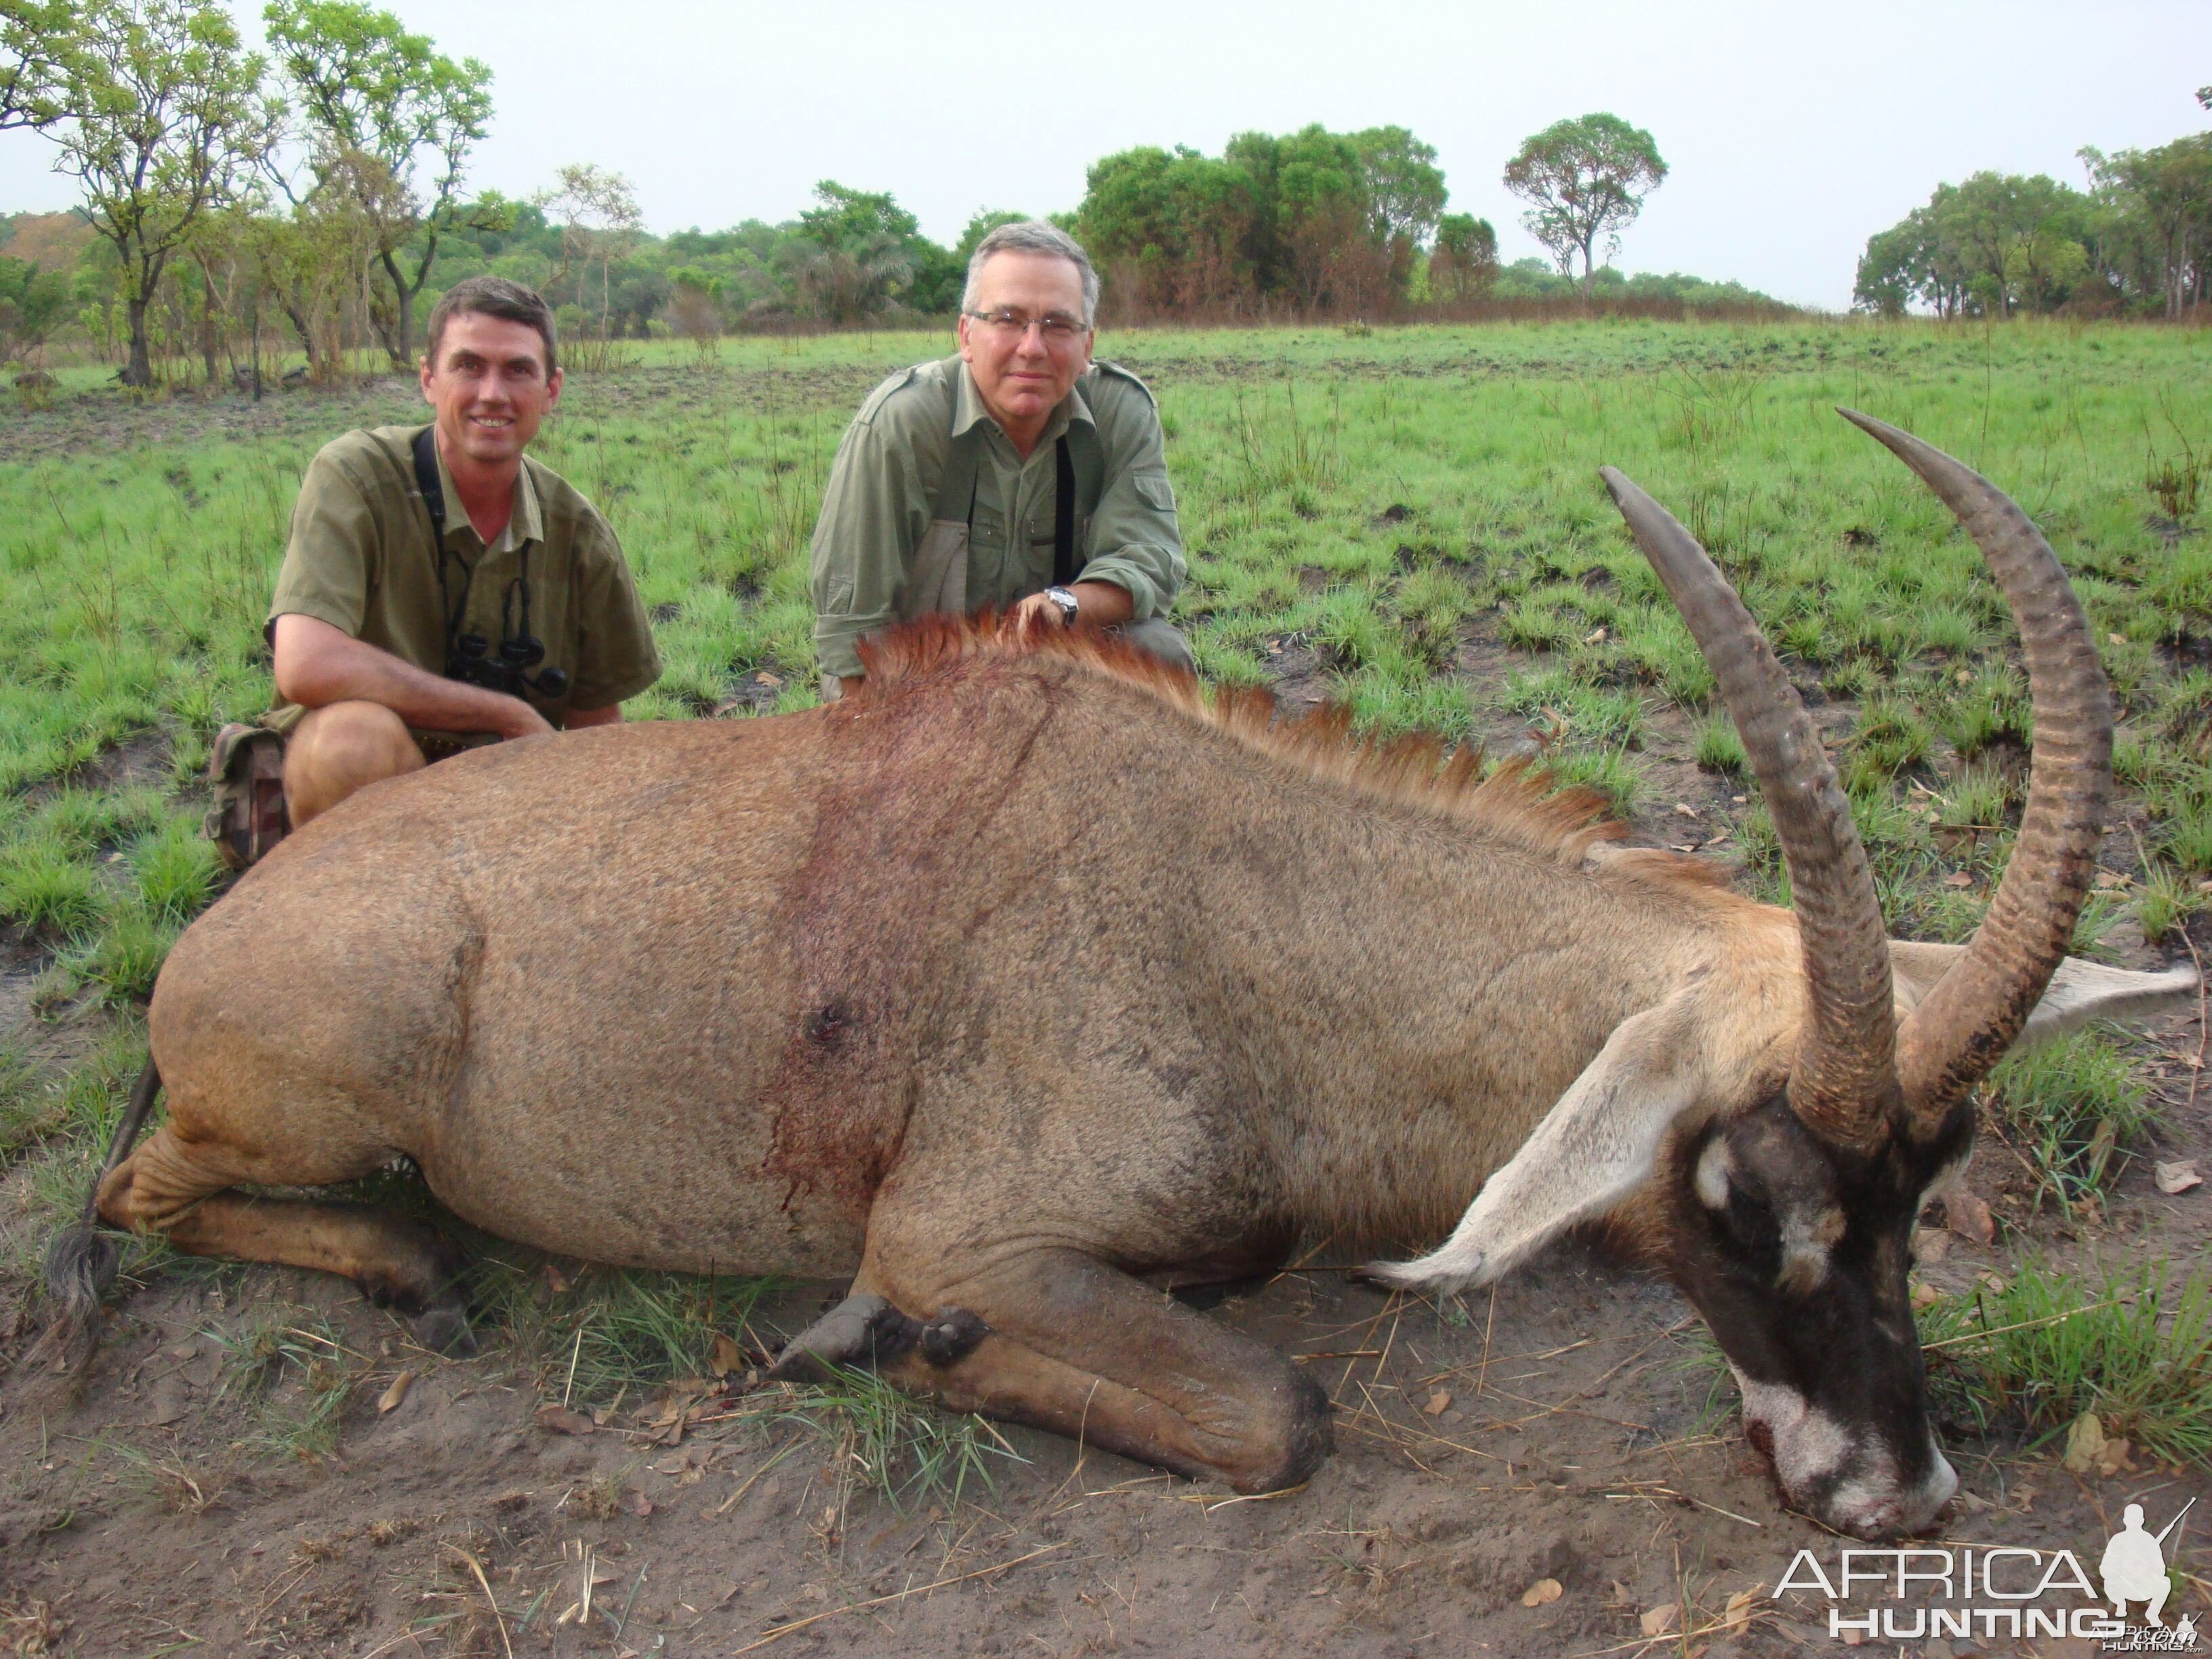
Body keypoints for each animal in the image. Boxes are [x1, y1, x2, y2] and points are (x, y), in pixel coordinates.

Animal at [43, 409, 2185, 1539]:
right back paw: (411, 1266)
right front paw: (868, 1344)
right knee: (138, 1192)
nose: (1899, 1490)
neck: (1251, 922)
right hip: (332, 1078)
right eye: (1745, 1191)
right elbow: (1276, 1409)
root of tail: (219, 925)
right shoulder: (963, 1234)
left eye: (1927, 1188)